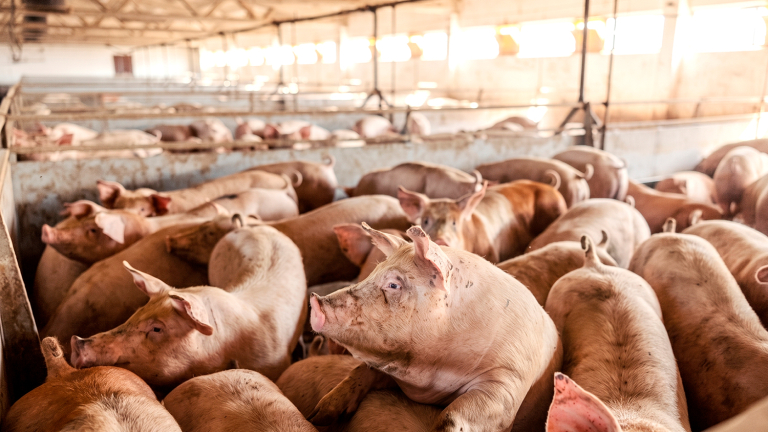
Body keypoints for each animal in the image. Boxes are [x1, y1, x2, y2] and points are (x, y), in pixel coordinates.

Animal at [308, 224, 562, 432]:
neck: (432, 371)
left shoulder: (508, 381)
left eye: (393, 284)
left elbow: (453, 416)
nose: (315, 300)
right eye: (371, 274)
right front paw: (317, 416)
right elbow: (361, 370)